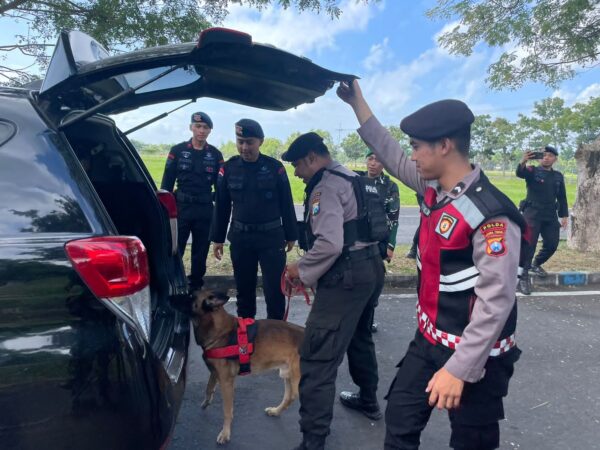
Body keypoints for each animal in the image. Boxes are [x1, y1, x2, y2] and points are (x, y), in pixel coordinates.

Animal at [190, 288, 304, 442]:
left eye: (189, 296)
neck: (221, 331)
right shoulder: (215, 372)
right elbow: (208, 388)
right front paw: (206, 403)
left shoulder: (226, 382)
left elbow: (227, 410)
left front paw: (225, 433)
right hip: (287, 375)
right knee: (289, 397)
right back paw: (276, 411)